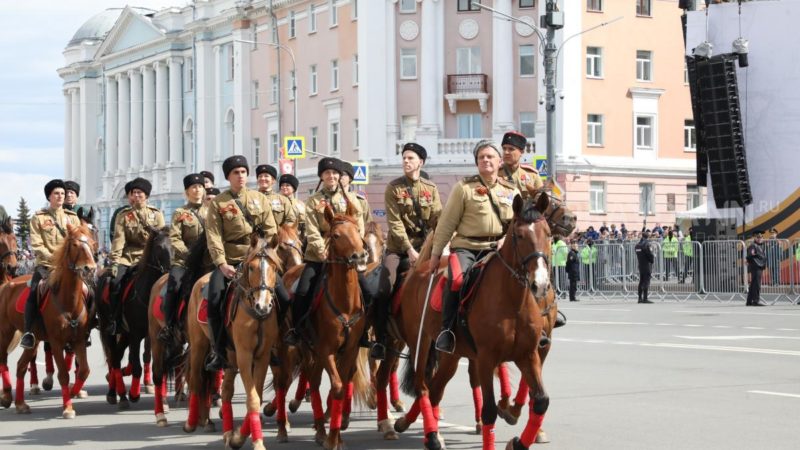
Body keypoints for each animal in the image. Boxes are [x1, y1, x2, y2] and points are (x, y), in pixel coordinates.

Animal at [0, 222, 97, 418]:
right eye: (75, 244)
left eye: (92, 243)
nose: (89, 269)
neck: (68, 301)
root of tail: (6, 285)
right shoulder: (56, 341)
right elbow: (63, 374)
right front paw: (67, 407)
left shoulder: (78, 340)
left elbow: (84, 370)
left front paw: (74, 391)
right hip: (6, 331)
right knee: (3, 359)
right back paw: (6, 395)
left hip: (33, 339)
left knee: (21, 366)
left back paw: (20, 404)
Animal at [97, 227, 171, 410]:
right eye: (159, 247)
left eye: (174, 244)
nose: (169, 271)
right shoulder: (136, 335)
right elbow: (136, 365)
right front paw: (134, 394)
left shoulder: (156, 335)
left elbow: (156, 363)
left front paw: (163, 400)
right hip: (108, 330)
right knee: (114, 359)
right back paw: (118, 394)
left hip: (124, 334)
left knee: (117, 355)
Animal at [392, 192, 556, 450]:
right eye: (520, 236)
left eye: (548, 233)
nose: (540, 284)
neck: (513, 302)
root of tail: (418, 271)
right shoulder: (486, 359)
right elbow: (489, 411)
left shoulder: (528, 354)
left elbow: (540, 401)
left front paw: (518, 441)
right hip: (421, 343)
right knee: (423, 387)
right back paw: (429, 434)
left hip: (451, 355)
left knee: (435, 389)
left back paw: (419, 428)